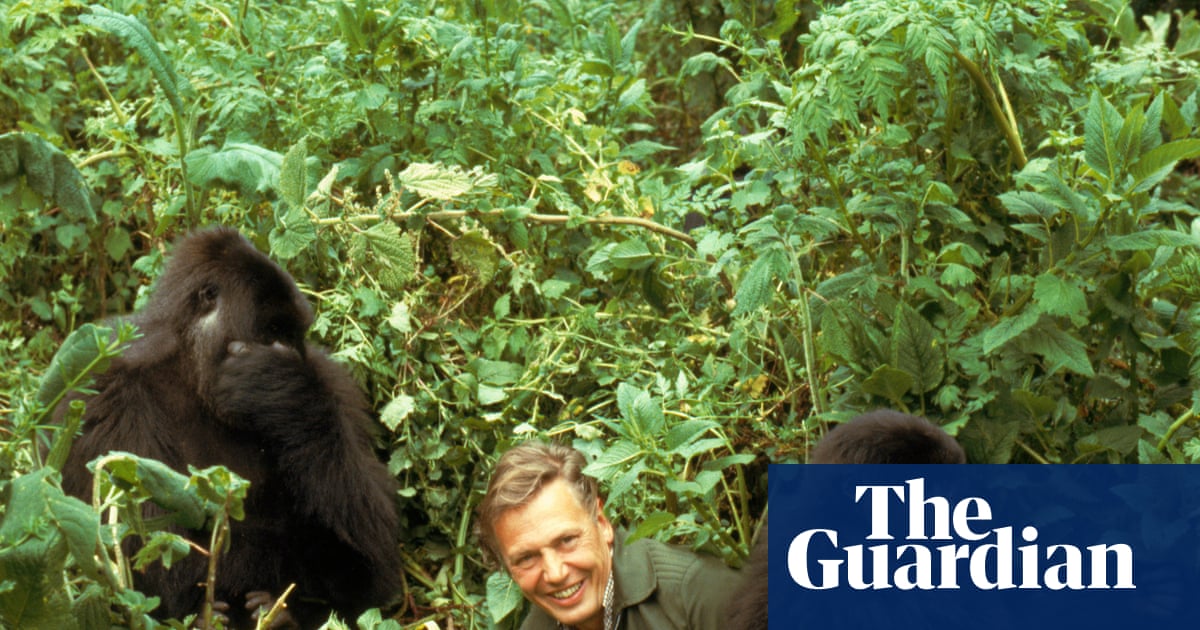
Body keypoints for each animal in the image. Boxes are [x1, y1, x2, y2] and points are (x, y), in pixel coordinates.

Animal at [56, 227, 401, 629]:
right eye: (271, 330)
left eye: (292, 334)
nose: (290, 354)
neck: (188, 367)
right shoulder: (99, 379)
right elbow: (137, 541)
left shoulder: (331, 384)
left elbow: (374, 554)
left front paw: (278, 388)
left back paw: (284, 613)